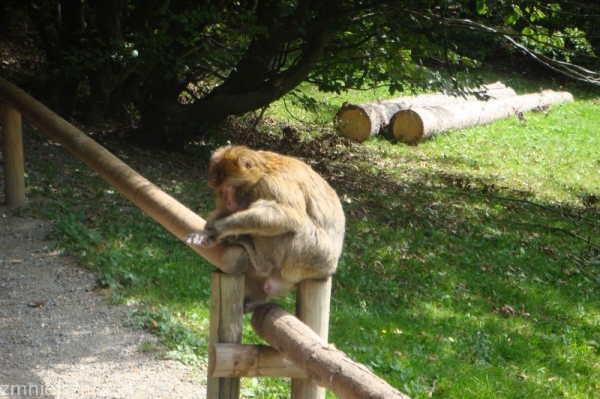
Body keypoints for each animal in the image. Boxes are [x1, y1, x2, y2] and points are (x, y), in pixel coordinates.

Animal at [188, 145, 346, 310]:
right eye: (221, 190)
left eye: (229, 187)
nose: (229, 201)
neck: (260, 173)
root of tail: (329, 270)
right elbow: (225, 210)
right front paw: (207, 229)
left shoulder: (271, 184)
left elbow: (291, 216)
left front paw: (218, 229)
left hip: (314, 255)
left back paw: (259, 262)